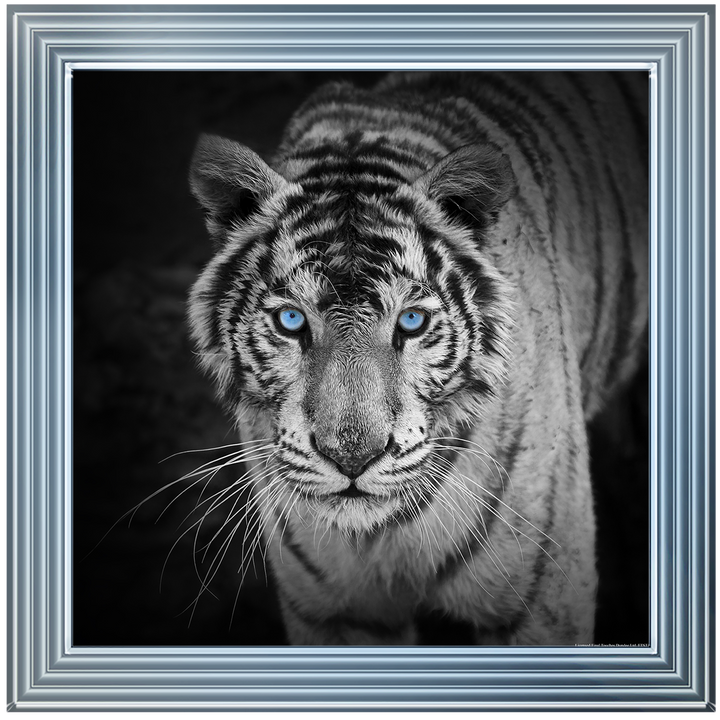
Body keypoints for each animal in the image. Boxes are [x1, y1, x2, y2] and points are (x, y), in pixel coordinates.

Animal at [187, 71, 648, 645]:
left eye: (411, 322)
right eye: (291, 320)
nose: (352, 459)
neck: (379, 536)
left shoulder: (541, 604)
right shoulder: (334, 613)